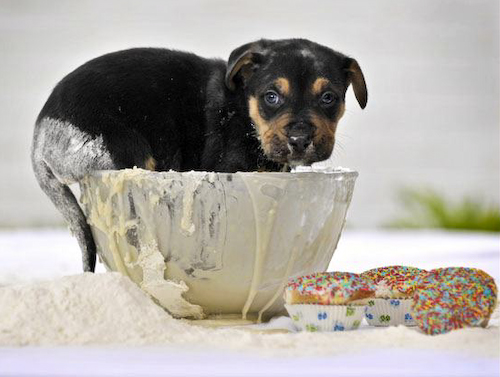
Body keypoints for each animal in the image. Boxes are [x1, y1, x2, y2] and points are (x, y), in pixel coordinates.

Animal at [31, 38, 368, 270]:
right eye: (271, 97)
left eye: (329, 98)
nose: (299, 138)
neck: (245, 112)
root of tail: (40, 140)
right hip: (125, 148)